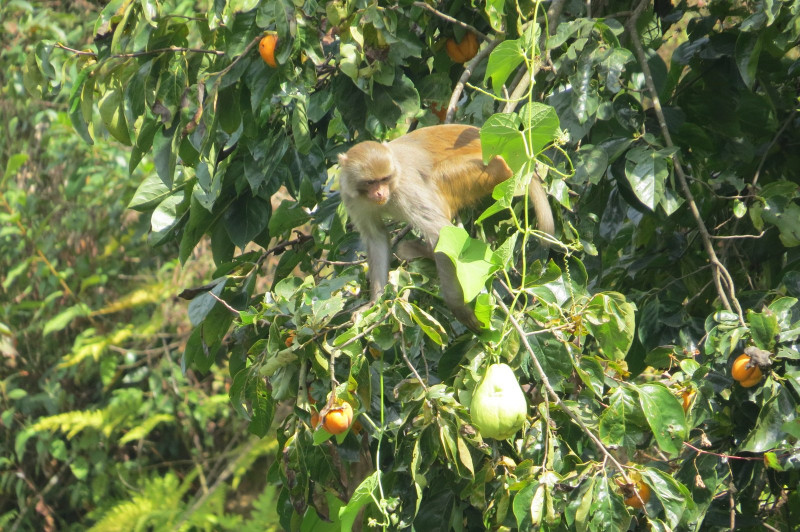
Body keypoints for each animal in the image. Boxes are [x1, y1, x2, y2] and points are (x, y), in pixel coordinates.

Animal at [334, 125, 552, 332]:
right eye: (371, 182)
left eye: (384, 179)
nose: (380, 193)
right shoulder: (351, 197)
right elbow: (376, 237)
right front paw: (375, 302)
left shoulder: (405, 190)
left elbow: (440, 232)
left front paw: (457, 306)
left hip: (485, 168)